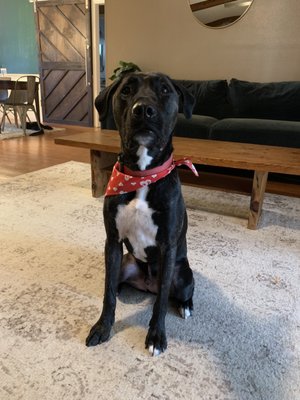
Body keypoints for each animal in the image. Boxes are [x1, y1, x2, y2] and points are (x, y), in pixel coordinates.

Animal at [85, 72, 196, 356]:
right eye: (126, 90)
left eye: (165, 90)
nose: (143, 110)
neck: (142, 174)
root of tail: (147, 285)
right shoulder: (112, 242)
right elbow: (108, 293)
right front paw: (103, 327)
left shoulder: (167, 247)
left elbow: (161, 303)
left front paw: (156, 336)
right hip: (125, 263)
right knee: (116, 284)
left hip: (183, 274)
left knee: (178, 293)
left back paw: (185, 306)